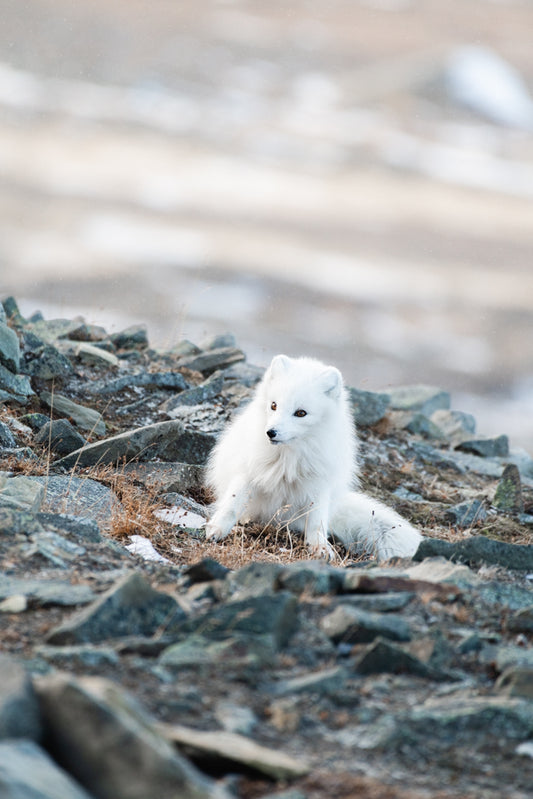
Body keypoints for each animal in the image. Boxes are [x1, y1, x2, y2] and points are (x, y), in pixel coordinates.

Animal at [205, 354, 422, 561]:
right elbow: (232, 504)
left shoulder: (319, 486)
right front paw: (216, 529)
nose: (270, 432)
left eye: (301, 413)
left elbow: (317, 522)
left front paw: (320, 548)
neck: (288, 457)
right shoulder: (247, 472)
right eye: (274, 405)